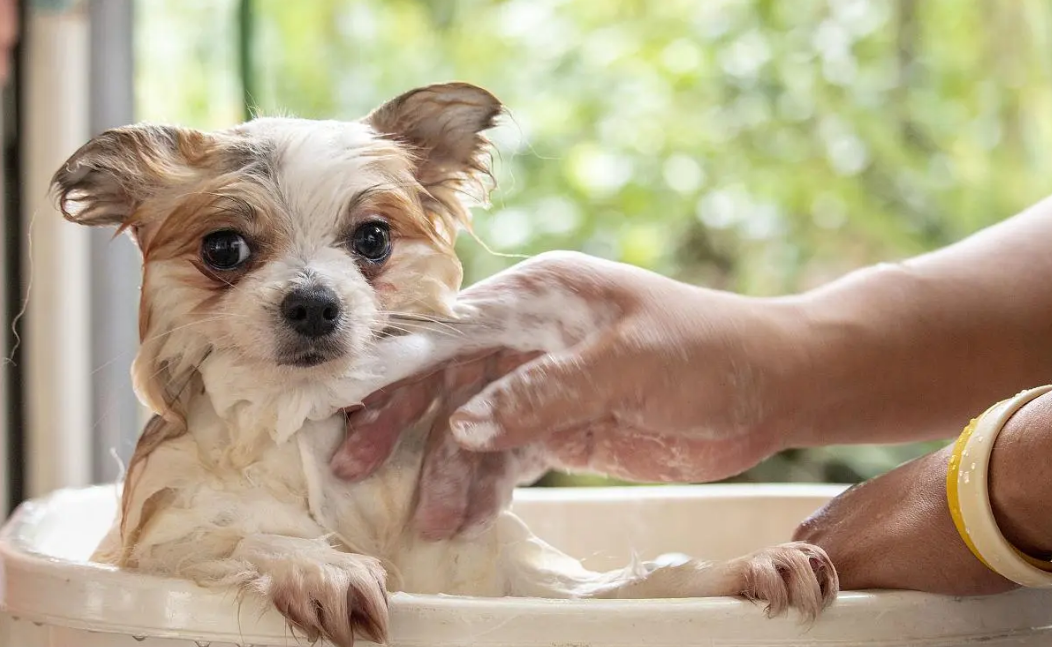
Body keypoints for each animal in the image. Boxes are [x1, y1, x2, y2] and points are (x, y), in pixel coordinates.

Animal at [51, 82, 837, 647]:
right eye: (224, 248)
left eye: (372, 239)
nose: (313, 303)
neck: (298, 421)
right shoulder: (154, 547)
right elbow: (236, 536)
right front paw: (320, 564)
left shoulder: (486, 574)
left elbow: (621, 587)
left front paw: (739, 569)